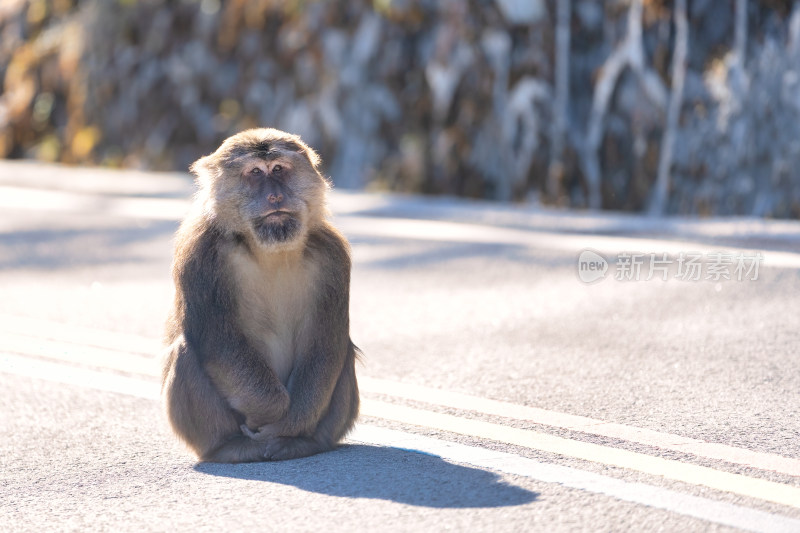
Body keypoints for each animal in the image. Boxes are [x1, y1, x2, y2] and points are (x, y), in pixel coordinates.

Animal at [162, 129, 360, 462]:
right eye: (255, 173)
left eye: (278, 169)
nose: (275, 197)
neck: (269, 250)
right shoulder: (201, 254)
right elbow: (220, 341)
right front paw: (270, 414)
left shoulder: (332, 256)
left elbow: (324, 344)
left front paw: (289, 425)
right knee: (187, 350)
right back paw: (229, 446)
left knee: (341, 352)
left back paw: (303, 442)